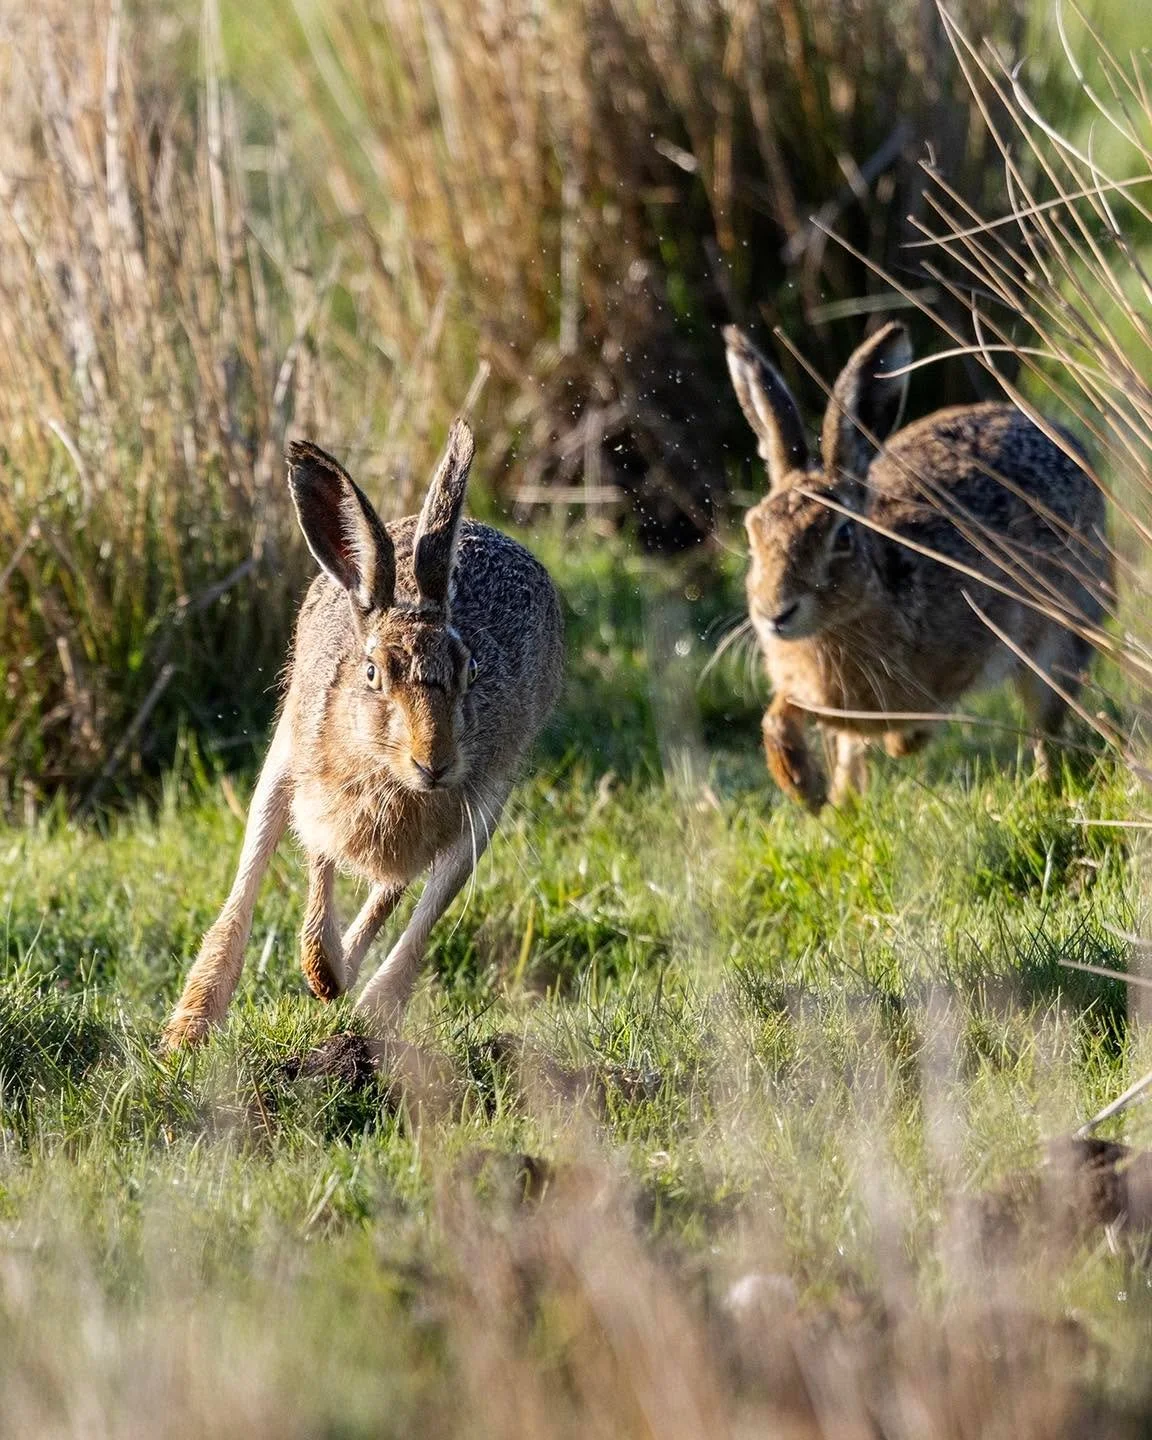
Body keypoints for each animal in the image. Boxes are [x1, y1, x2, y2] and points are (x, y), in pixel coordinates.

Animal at [164, 420, 563, 1046]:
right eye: (372, 673)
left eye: (470, 670)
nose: (435, 762)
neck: (388, 770)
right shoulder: (314, 785)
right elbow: (319, 867)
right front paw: (322, 973)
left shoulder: (470, 806)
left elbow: (405, 898)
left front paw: (344, 988)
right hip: (283, 759)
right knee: (248, 883)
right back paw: (191, 1026)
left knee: (415, 899)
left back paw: (364, 1000)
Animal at [722, 320, 1112, 811]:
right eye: (752, 531)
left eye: (842, 537)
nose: (775, 613)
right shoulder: (809, 693)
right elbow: (778, 716)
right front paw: (803, 787)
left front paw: (899, 744)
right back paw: (841, 806)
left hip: (1060, 641)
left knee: (1047, 722)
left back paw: (1046, 787)